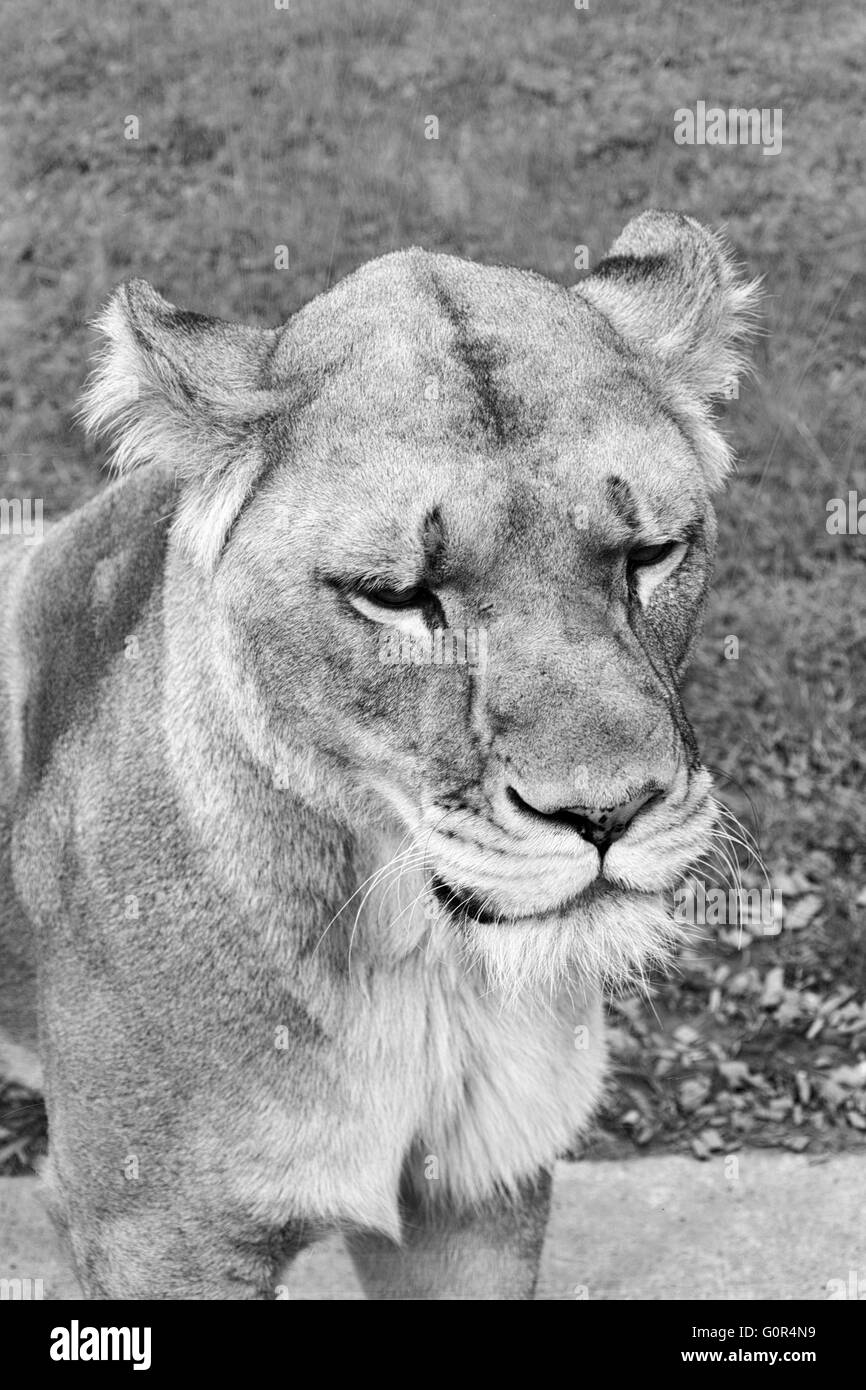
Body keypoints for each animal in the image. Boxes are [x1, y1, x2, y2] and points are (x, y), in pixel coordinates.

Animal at [0, 211, 758, 1299]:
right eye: (396, 597)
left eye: (650, 554)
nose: (606, 814)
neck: (422, 968)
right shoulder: (152, 1233)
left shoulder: (477, 1189)